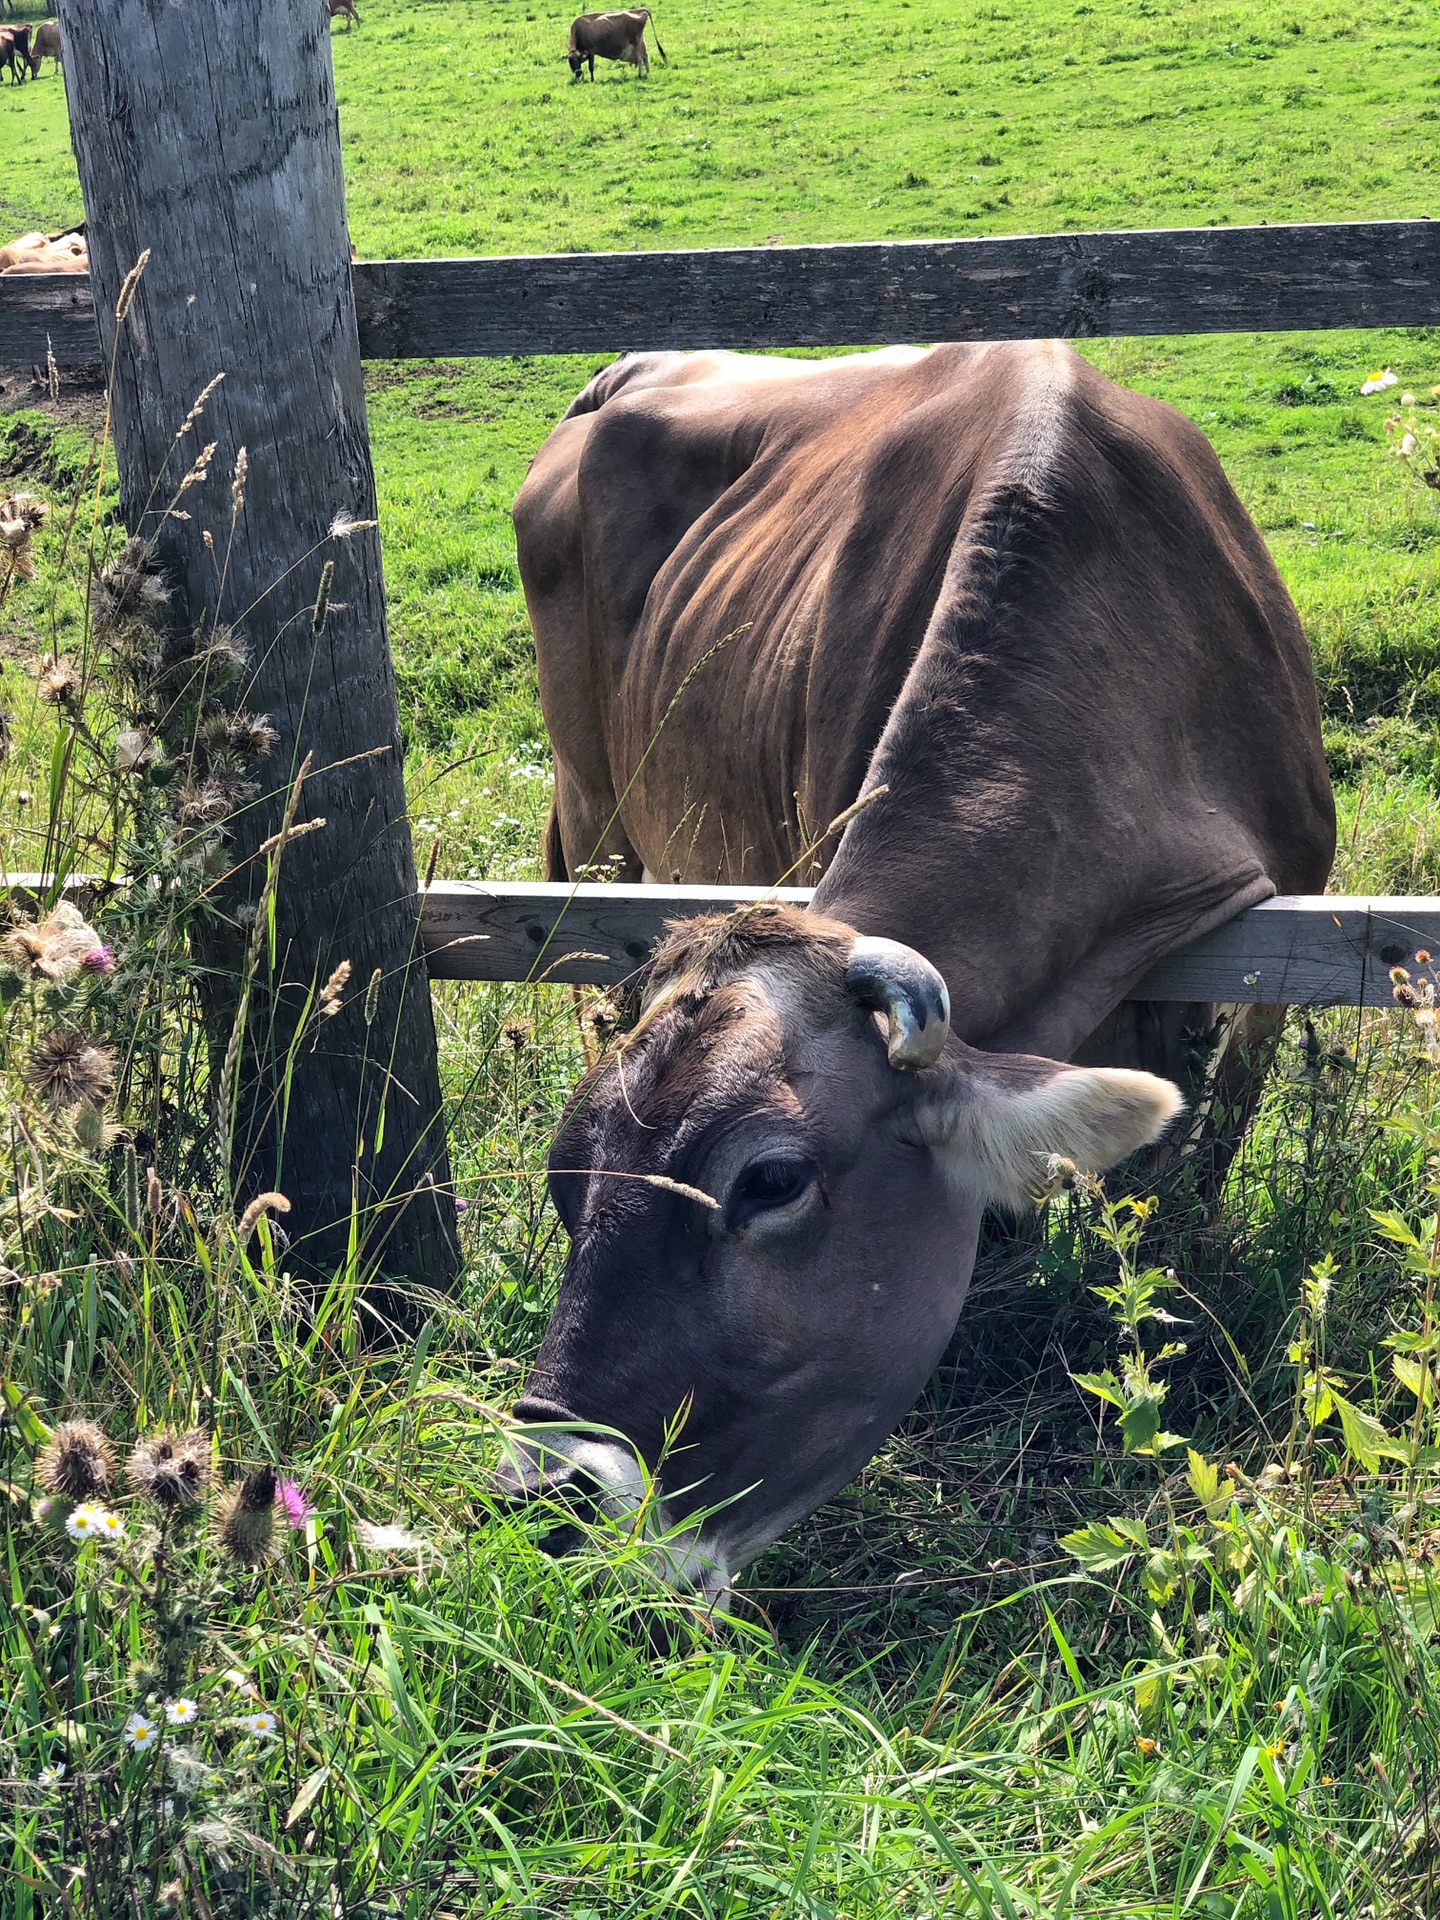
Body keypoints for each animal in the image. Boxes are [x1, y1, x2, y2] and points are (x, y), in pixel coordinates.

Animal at [506, 337, 1344, 1597]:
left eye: (769, 1181)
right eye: (567, 1174)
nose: (543, 1501)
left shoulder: (1269, 962)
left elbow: (1182, 1187)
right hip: (595, 811)